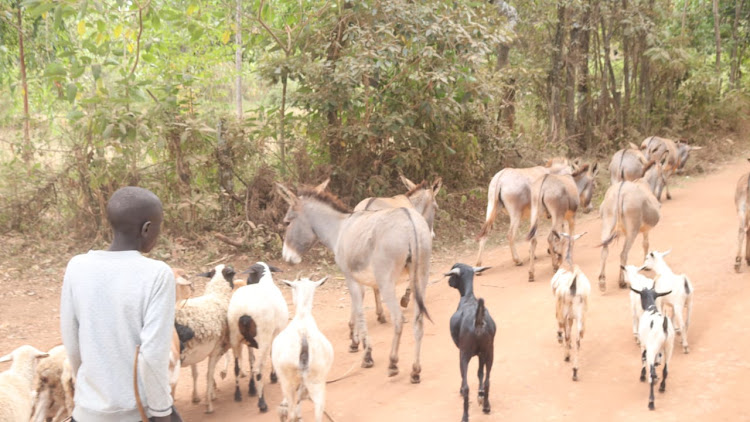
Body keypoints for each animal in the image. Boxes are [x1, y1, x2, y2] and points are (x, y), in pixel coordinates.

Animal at [175, 264, 236, 412]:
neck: (218, 296)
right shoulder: (216, 348)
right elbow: (208, 374)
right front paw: (209, 404)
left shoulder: (196, 352)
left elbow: (196, 373)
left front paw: (197, 397)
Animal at [226, 260, 288, 412]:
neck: (264, 280)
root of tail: (245, 312)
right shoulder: (275, 334)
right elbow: (271, 355)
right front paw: (273, 377)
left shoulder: (248, 342)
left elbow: (251, 360)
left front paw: (251, 388)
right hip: (262, 339)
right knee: (259, 370)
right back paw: (262, 403)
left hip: (235, 338)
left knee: (237, 368)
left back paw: (238, 395)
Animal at [272, 276, 334, 422]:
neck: (303, 316)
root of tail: (303, 336)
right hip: (317, 379)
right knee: (318, 409)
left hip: (288, 380)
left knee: (292, 413)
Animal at [450, 264, 496, 422]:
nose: (449, 282)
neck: (469, 297)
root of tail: (478, 322)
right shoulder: (482, 353)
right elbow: (480, 373)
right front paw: (480, 394)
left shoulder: (464, 352)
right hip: (490, 351)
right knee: (488, 380)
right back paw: (486, 406)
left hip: (464, 354)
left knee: (466, 386)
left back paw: (465, 416)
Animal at [552, 232, 592, 380]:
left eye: (556, 241)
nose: (552, 251)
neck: (567, 262)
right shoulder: (571, 316)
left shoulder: (559, 308)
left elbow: (561, 327)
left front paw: (559, 338)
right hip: (581, 315)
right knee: (578, 340)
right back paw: (575, 370)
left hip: (565, 311)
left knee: (568, 334)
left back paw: (567, 356)